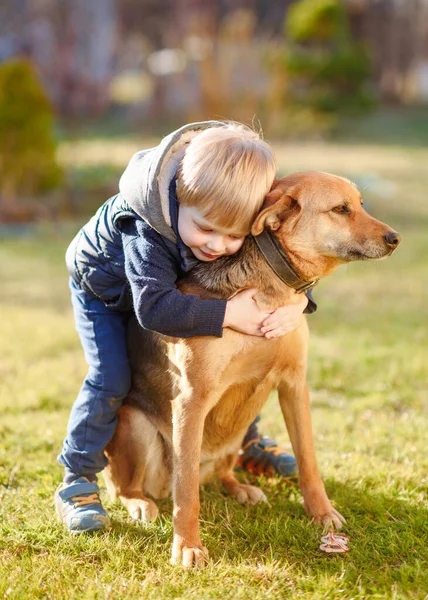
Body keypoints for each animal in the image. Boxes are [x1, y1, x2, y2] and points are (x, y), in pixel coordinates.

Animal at [103, 170, 402, 568]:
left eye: (360, 205)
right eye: (341, 209)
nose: (395, 238)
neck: (274, 287)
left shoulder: (294, 385)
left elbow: (309, 462)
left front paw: (321, 513)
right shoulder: (192, 399)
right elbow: (187, 493)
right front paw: (188, 546)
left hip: (240, 429)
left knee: (219, 475)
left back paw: (241, 489)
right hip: (134, 424)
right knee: (134, 486)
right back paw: (139, 502)